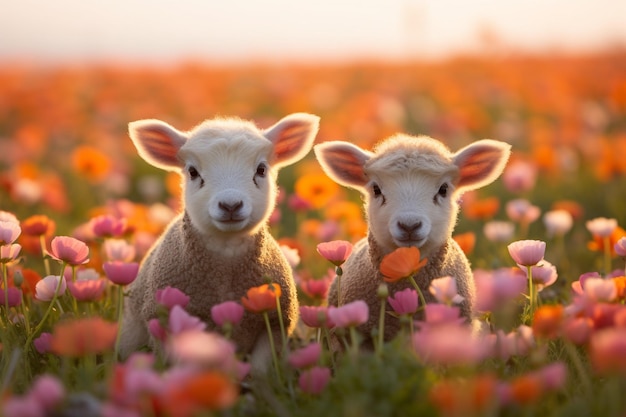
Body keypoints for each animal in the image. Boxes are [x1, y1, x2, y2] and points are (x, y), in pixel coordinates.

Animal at [119, 111, 320, 370]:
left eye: (261, 169)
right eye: (193, 172)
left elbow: (261, 370)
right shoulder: (164, 321)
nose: (230, 205)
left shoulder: (276, 322)